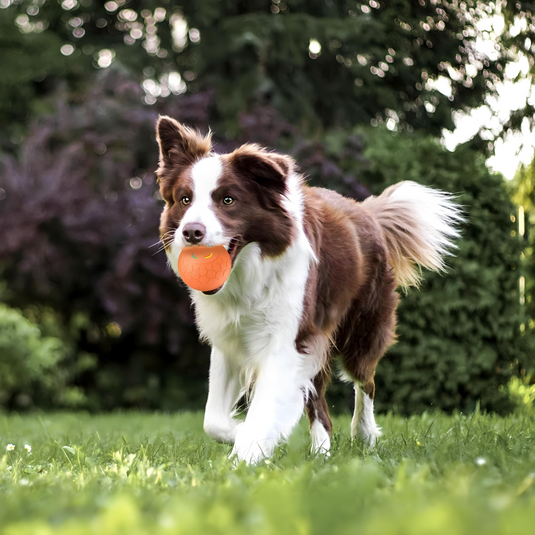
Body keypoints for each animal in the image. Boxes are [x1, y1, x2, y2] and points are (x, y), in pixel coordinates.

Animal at [156, 116, 464, 464]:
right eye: (185, 199)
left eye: (228, 200)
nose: (191, 232)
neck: (249, 273)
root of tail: (367, 212)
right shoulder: (230, 339)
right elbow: (213, 421)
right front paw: (246, 436)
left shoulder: (287, 340)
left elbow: (263, 409)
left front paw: (246, 454)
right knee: (320, 405)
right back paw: (321, 453)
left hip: (361, 329)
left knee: (365, 381)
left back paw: (363, 434)